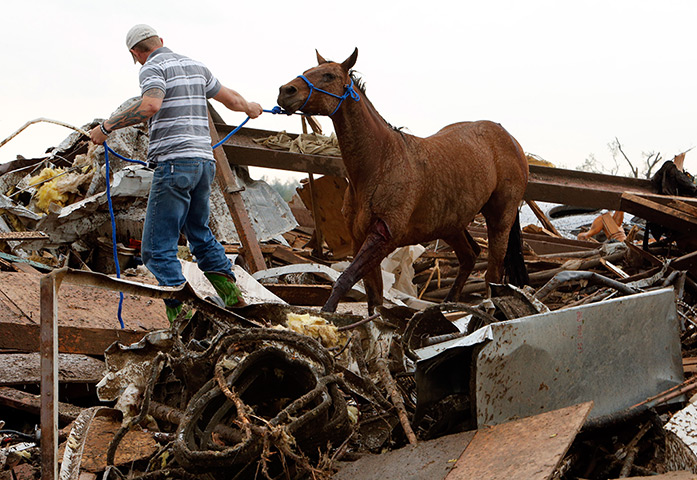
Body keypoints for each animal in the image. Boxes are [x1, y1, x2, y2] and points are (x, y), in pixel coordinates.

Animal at [277, 49, 529, 313]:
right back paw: (449, 304)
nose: (285, 91)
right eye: (307, 71)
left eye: (329, 75)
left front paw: (327, 314)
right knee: (470, 255)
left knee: (493, 273)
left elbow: (346, 279)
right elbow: (373, 294)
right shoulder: (359, 238)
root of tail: (511, 140)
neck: (380, 163)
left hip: (500, 218)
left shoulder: (384, 237)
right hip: (450, 224)